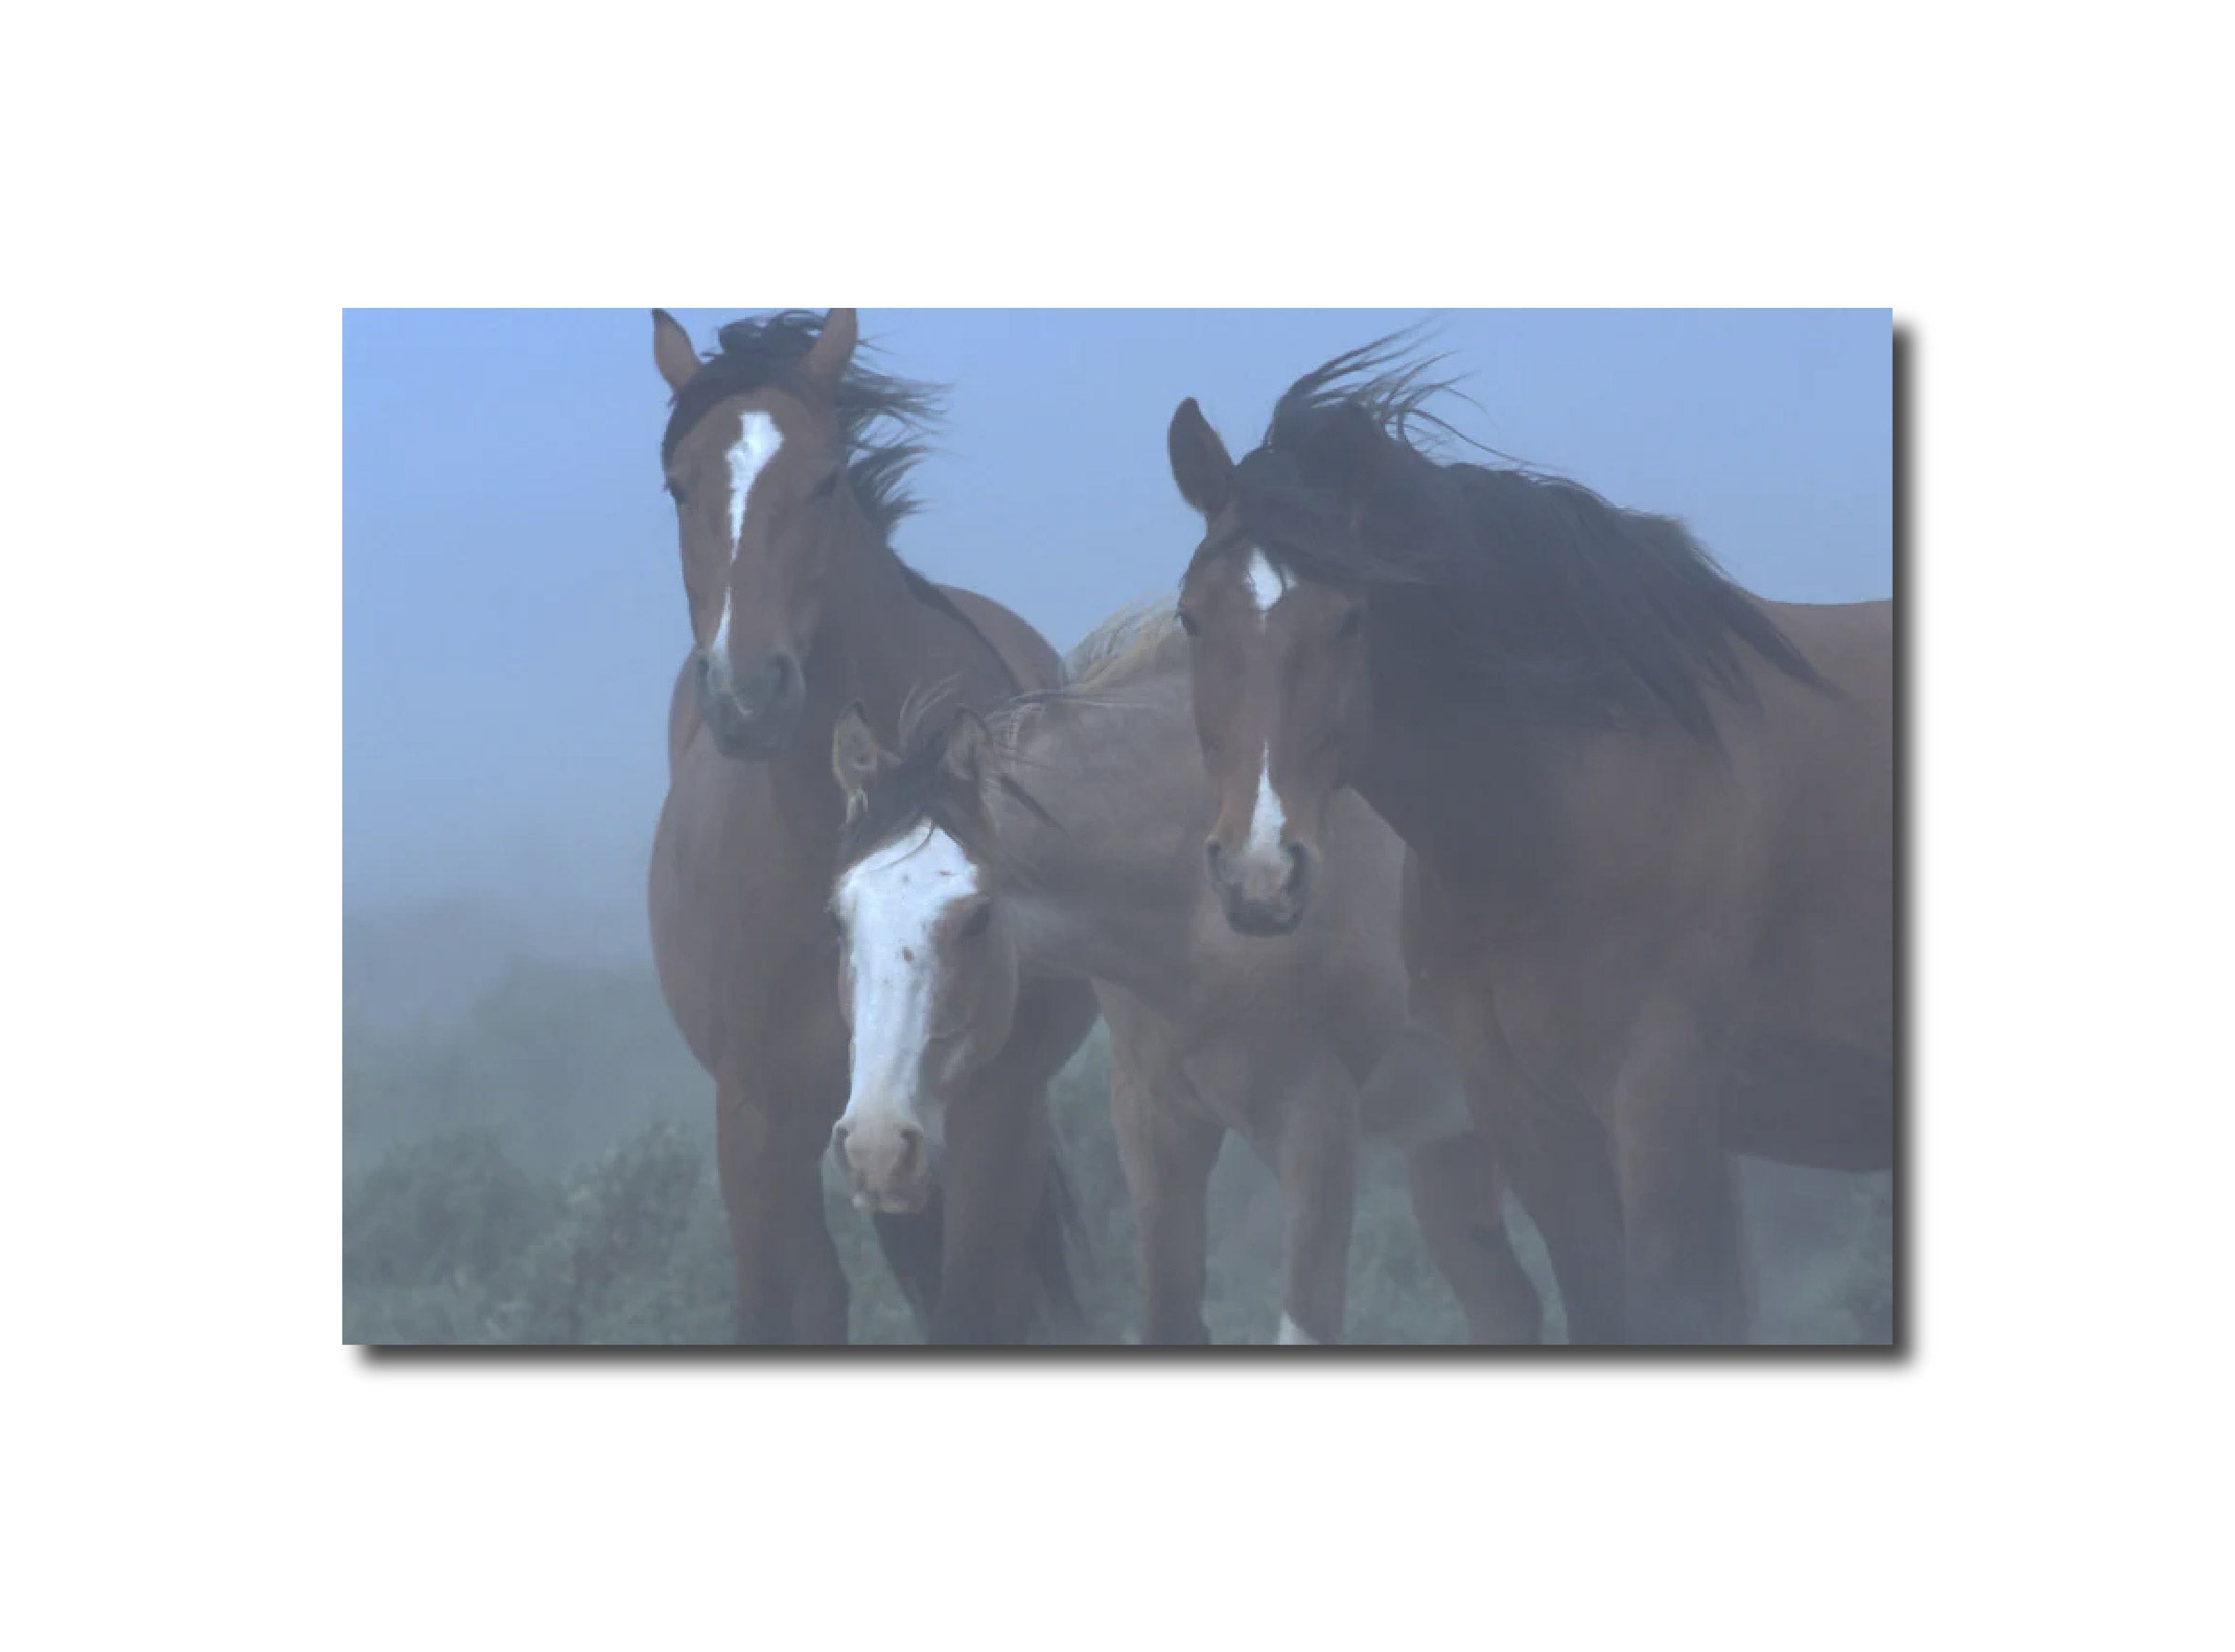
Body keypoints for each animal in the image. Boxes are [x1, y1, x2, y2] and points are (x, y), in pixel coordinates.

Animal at [645, 307, 1095, 1343]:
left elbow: (977, 1307)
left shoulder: (995, 1108)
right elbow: (788, 1306)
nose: (748, 693)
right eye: (678, 483)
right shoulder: (758, 1120)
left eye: (825, 479)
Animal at [825, 605, 1544, 1344]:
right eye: (838, 918)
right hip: (1449, 1141)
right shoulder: (1155, 1122)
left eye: (976, 918)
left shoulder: (1317, 1124)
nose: (878, 1147)